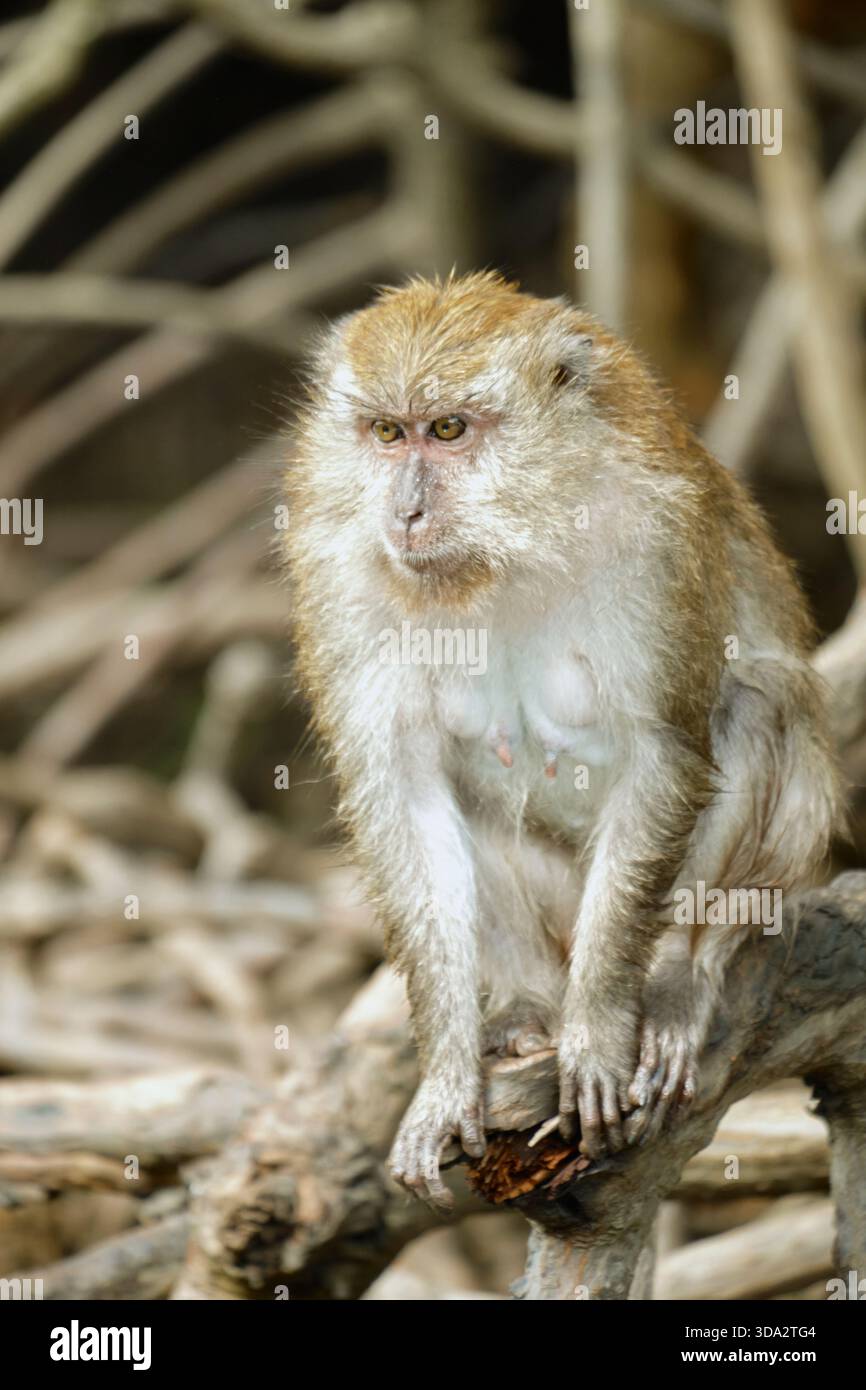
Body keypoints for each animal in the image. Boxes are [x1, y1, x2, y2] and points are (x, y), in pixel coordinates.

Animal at [285, 270, 841, 1211]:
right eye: (387, 432)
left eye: (448, 429)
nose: (406, 510)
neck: (508, 548)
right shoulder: (337, 563)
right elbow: (402, 789)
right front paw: (445, 1075)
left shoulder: (654, 541)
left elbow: (664, 750)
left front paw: (599, 1032)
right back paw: (523, 1009)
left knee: (755, 705)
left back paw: (684, 972)